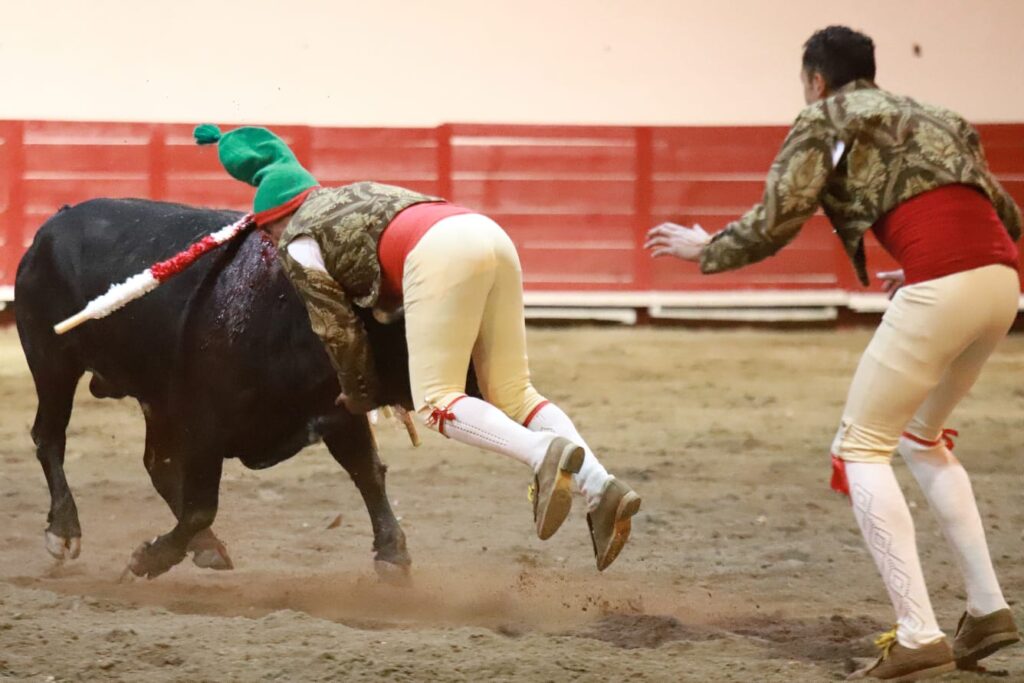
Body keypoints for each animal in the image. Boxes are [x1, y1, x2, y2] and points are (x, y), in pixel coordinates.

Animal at [11, 198, 452, 581]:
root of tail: (55, 221)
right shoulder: (204, 424)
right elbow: (202, 506)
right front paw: (149, 558)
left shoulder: (339, 412)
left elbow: (368, 472)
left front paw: (393, 555)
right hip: (52, 362)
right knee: (49, 436)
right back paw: (64, 531)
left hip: (157, 398)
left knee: (156, 464)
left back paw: (206, 547)